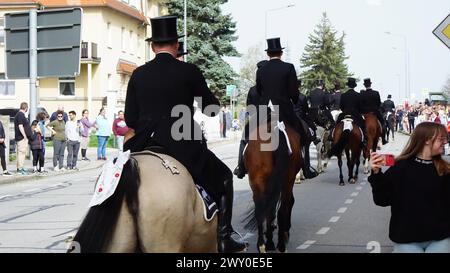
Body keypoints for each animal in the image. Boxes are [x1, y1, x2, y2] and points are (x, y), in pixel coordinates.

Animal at [243, 112, 302, 251]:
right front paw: (284, 232)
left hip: (258, 181)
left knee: (261, 210)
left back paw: (263, 245)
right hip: (287, 181)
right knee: (282, 208)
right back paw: (280, 244)